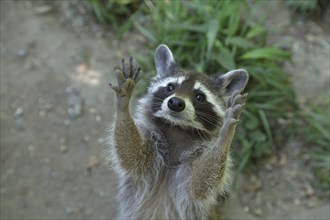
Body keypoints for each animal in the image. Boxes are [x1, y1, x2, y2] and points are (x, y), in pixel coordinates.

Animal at [107, 43, 249, 219]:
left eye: (199, 96)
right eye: (170, 87)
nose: (175, 103)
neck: (178, 129)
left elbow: (199, 185)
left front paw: (225, 137)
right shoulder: (152, 151)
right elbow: (132, 156)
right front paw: (123, 106)